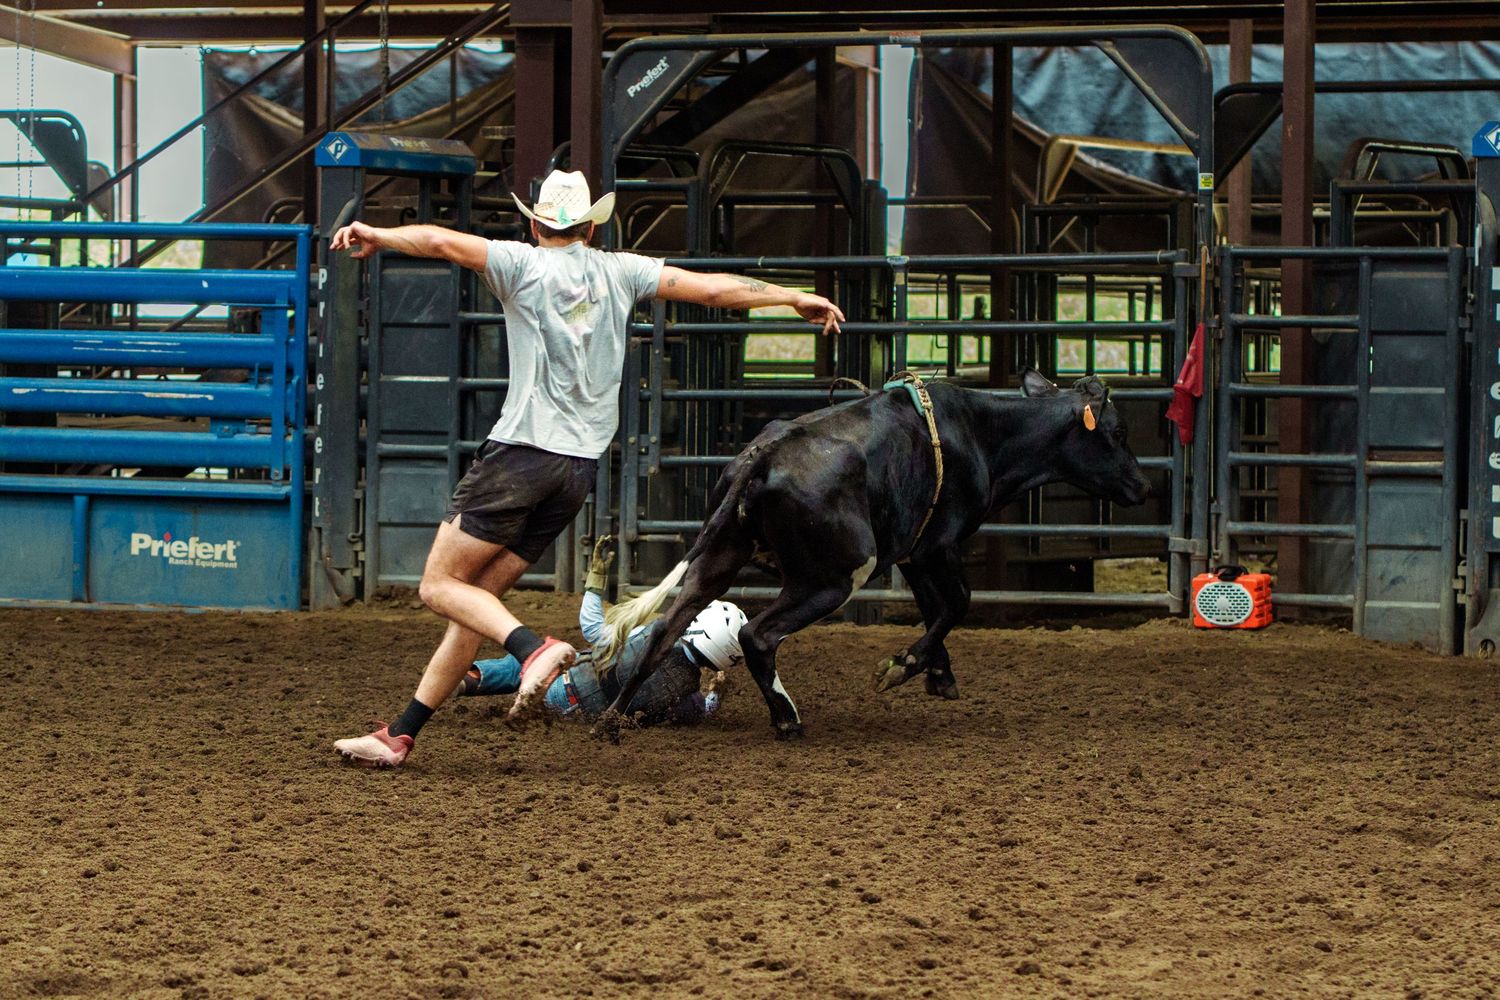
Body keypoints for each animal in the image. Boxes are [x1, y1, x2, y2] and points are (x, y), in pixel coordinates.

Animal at [591, 368, 1152, 741]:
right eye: (1118, 432)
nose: (1143, 485)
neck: (982, 432)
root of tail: (761, 457)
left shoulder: (912, 552)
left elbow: (935, 606)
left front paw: (936, 674)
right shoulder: (939, 544)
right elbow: (958, 602)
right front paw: (902, 668)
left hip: (719, 558)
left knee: (663, 633)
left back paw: (611, 719)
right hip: (836, 576)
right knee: (758, 635)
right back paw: (787, 719)